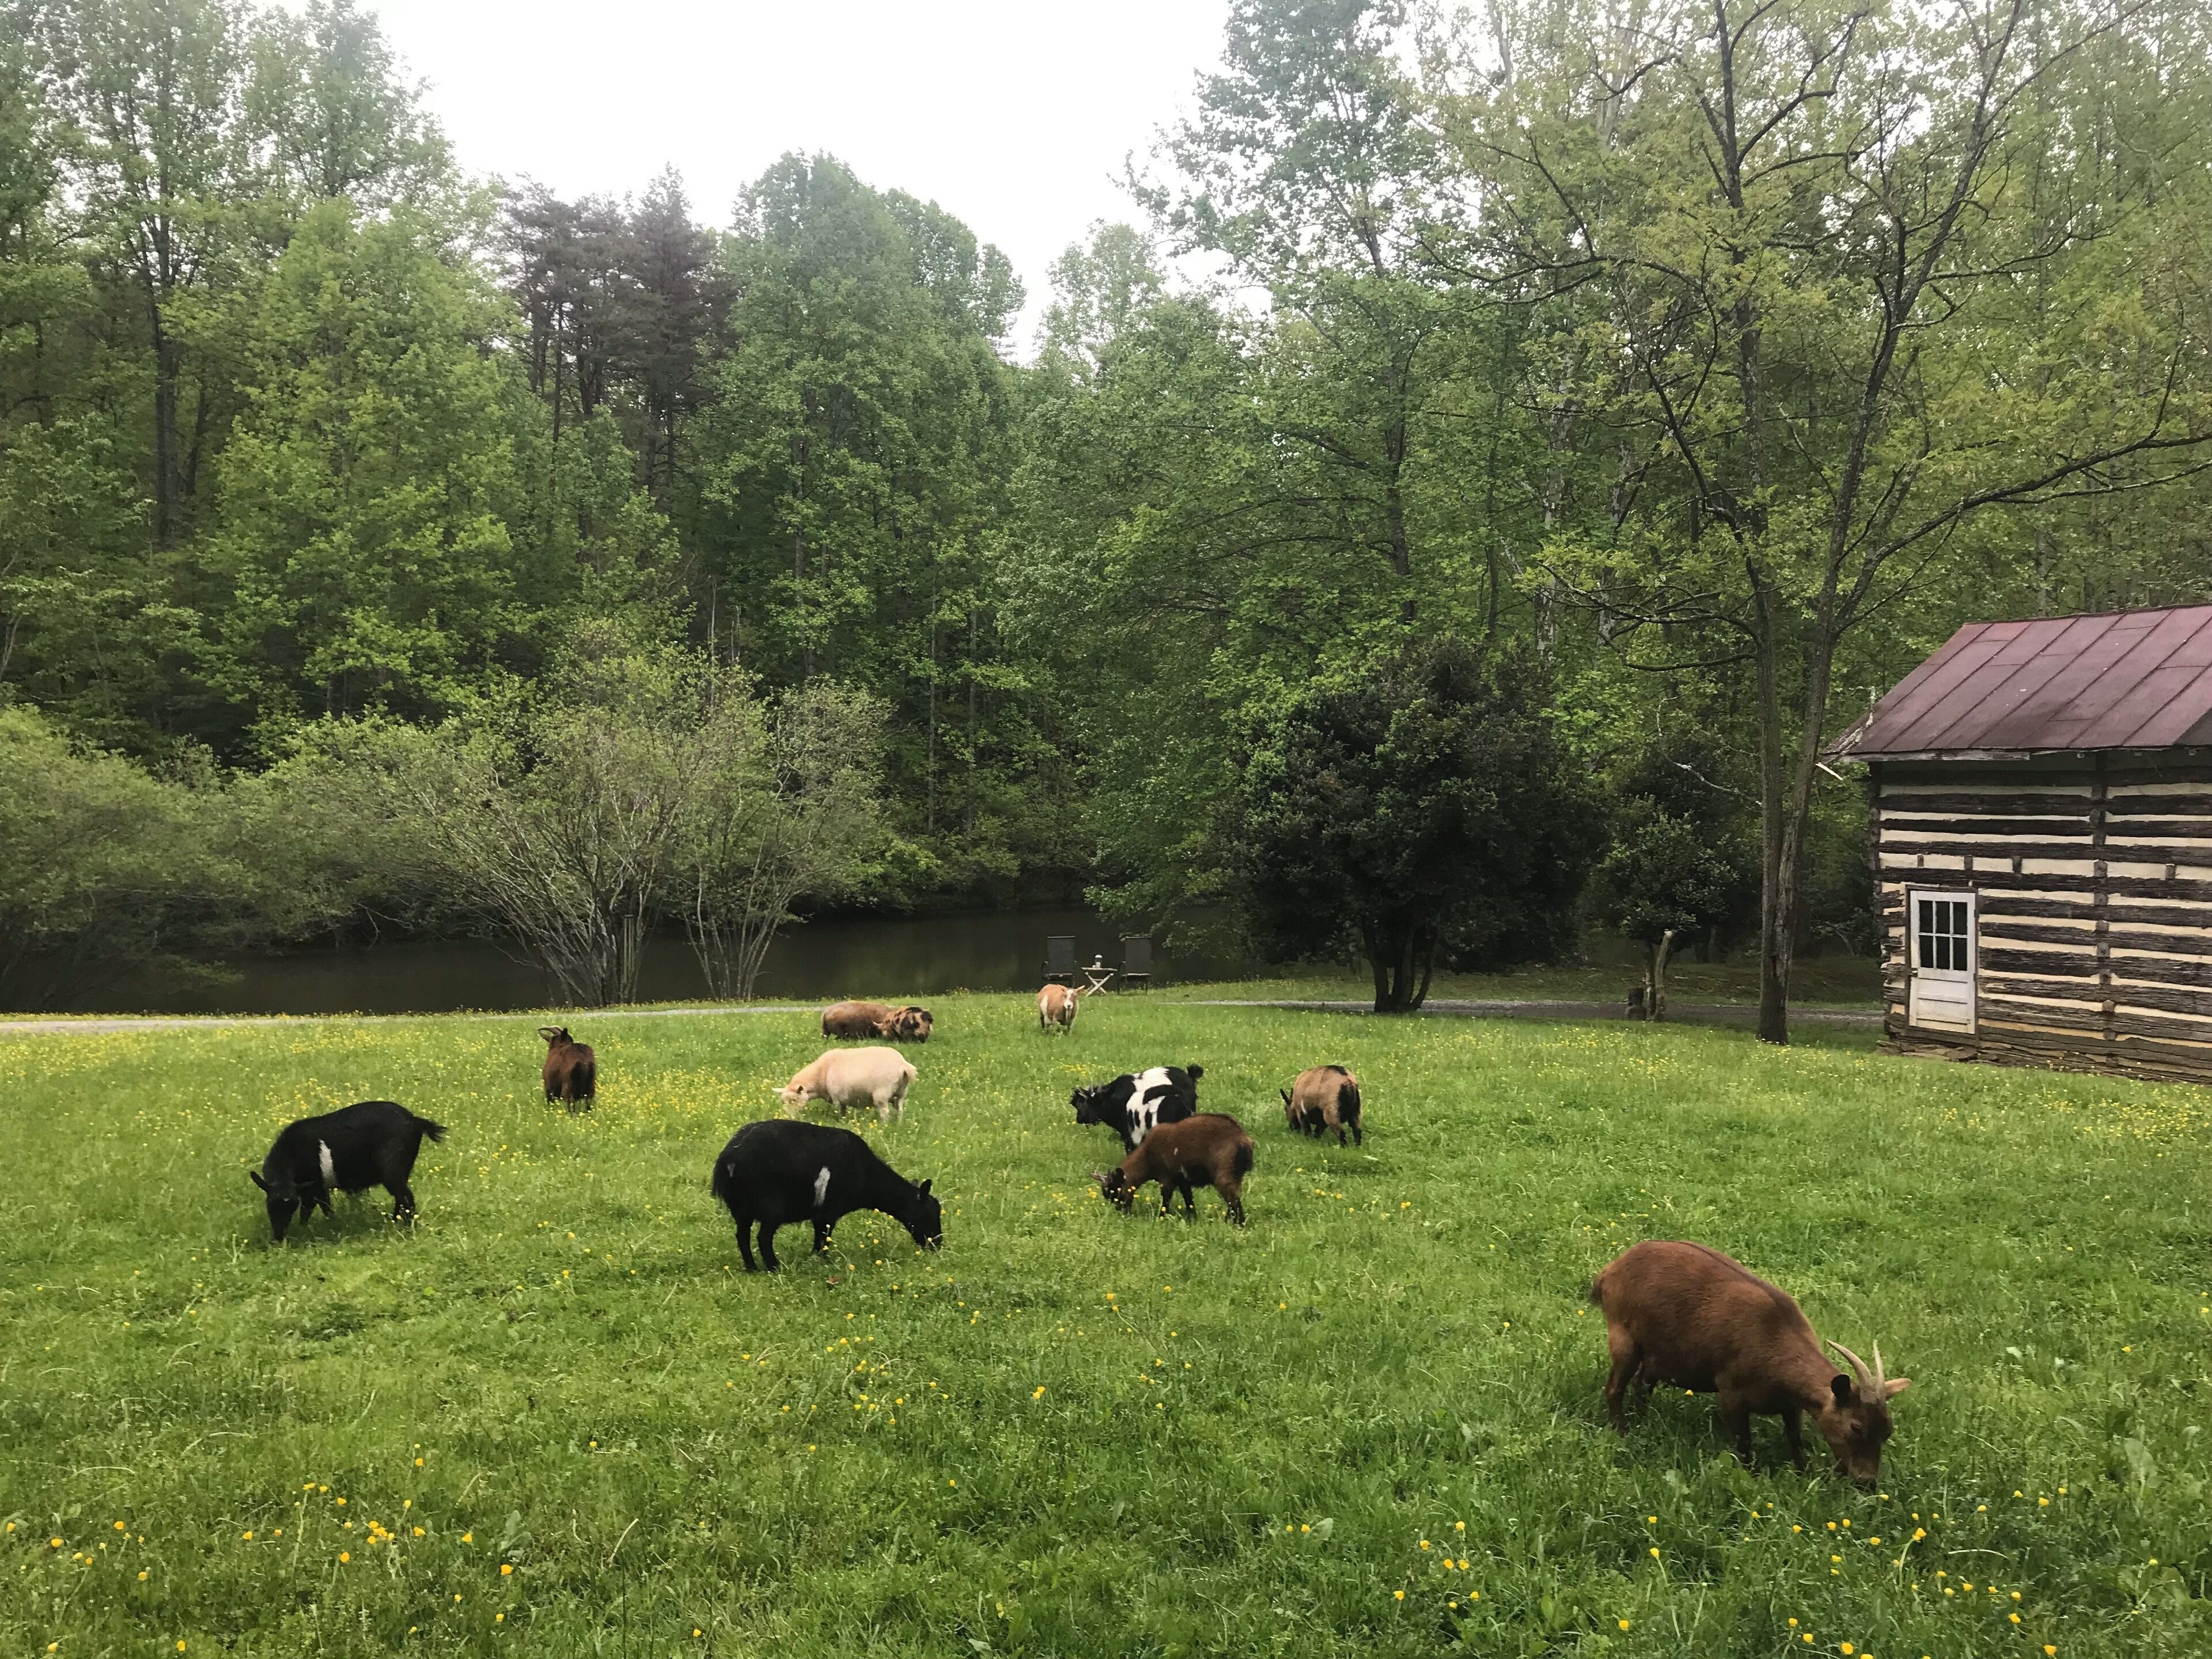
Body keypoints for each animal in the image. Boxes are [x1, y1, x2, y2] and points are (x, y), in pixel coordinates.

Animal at [250, 1100, 447, 1243]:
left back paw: (406, 1228)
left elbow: (314, 1210)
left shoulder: (314, 1188)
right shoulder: (312, 1189)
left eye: (290, 1207)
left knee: (406, 1198)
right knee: (401, 1197)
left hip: (393, 1169)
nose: (278, 1236)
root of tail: (415, 1120)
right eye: (270, 1206)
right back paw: (394, 1222)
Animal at [711, 1119, 942, 1272]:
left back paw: (752, 1268)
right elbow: (823, 1239)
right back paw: (774, 1268)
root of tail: (729, 1158)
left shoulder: (820, 1214)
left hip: (741, 1207)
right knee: (763, 1238)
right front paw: (820, 1261)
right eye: (930, 1214)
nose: (938, 1245)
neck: (867, 1176)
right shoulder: (829, 1211)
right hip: (771, 1207)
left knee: (742, 1236)